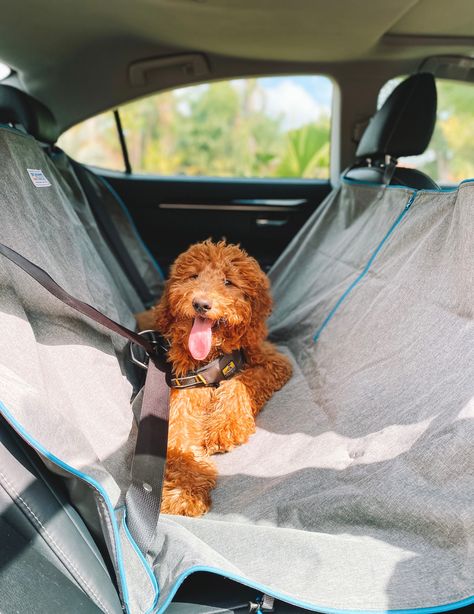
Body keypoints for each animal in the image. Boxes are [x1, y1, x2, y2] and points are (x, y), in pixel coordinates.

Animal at [152, 241, 292, 520]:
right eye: (193, 276)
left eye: (228, 281)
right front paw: (183, 490)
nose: (201, 304)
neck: (213, 356)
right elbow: (177, 434)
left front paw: (223, 425)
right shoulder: (185, 385)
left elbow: (241, 382)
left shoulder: (273, 362)